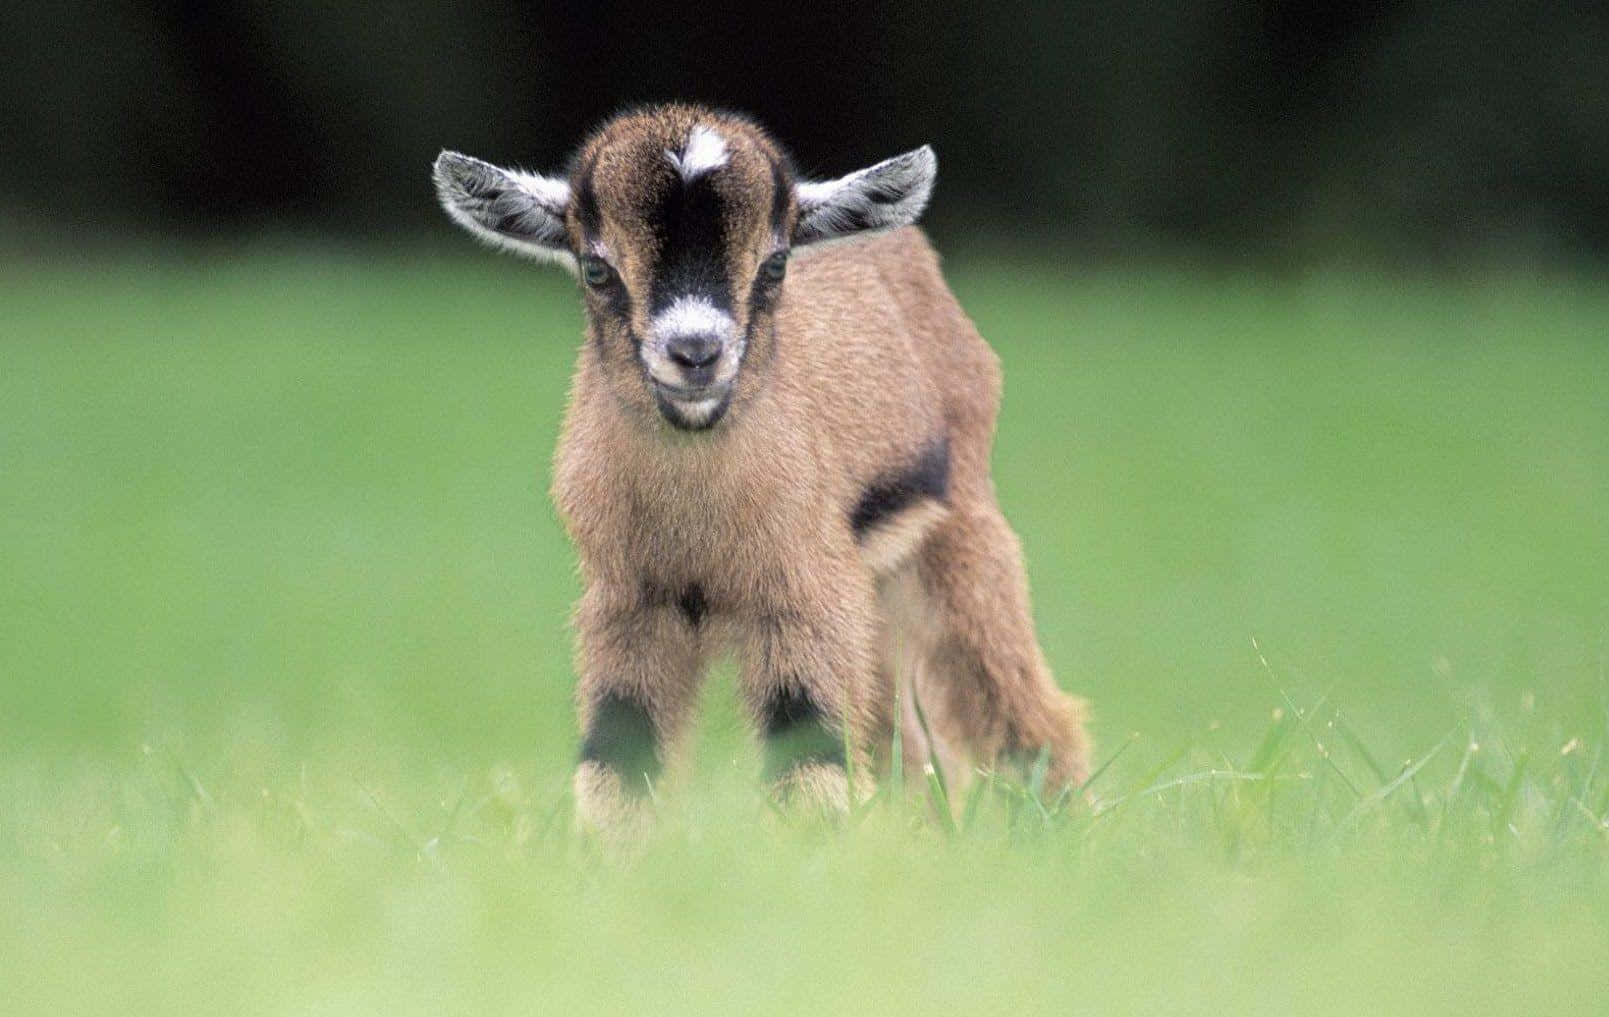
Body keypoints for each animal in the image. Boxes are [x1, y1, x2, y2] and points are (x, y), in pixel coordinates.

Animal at [433, 104, 1089, 832]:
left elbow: (810, 755)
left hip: (957, 535)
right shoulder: (629, 604)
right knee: (905, 747)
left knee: (1025, 714)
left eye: (774, 265)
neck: (696, 529)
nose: (695, 353)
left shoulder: (804, 596)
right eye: (596, 269)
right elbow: (618, 756)